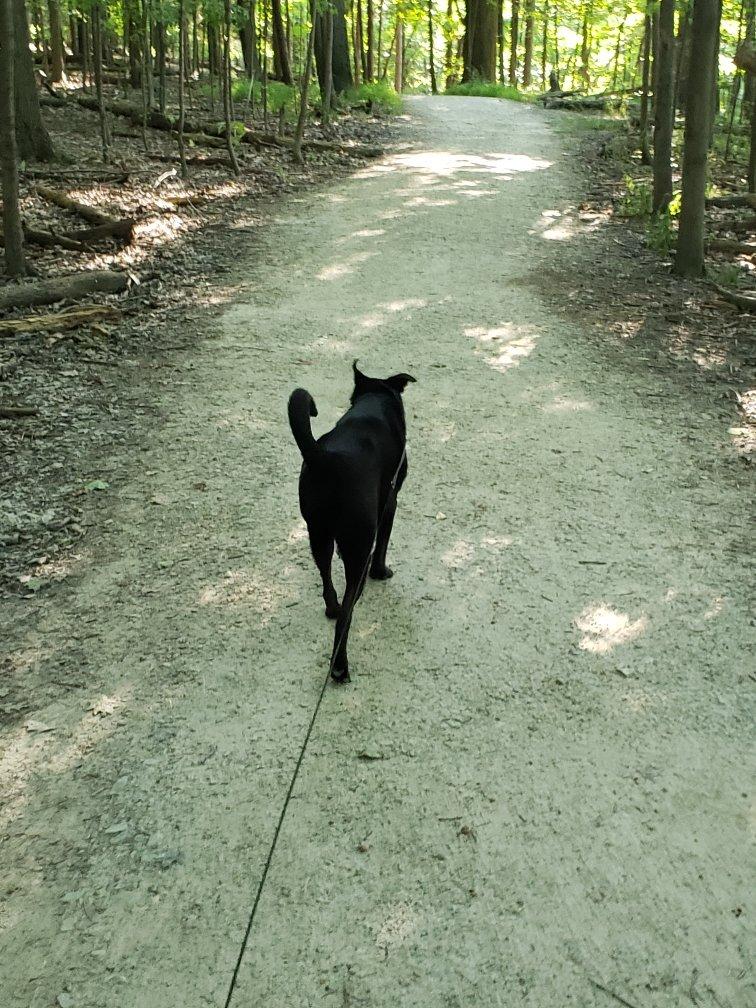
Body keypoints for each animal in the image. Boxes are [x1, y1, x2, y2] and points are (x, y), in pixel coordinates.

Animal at [288, 362, 417, 685]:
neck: (373, 403)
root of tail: (324, 459)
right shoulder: (390, 502)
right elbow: (383, 544)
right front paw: (381, 572)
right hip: (357, 549)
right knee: (347, 615)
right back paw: (340, 667)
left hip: (318, 535)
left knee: (327, 582)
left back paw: (331, 609)